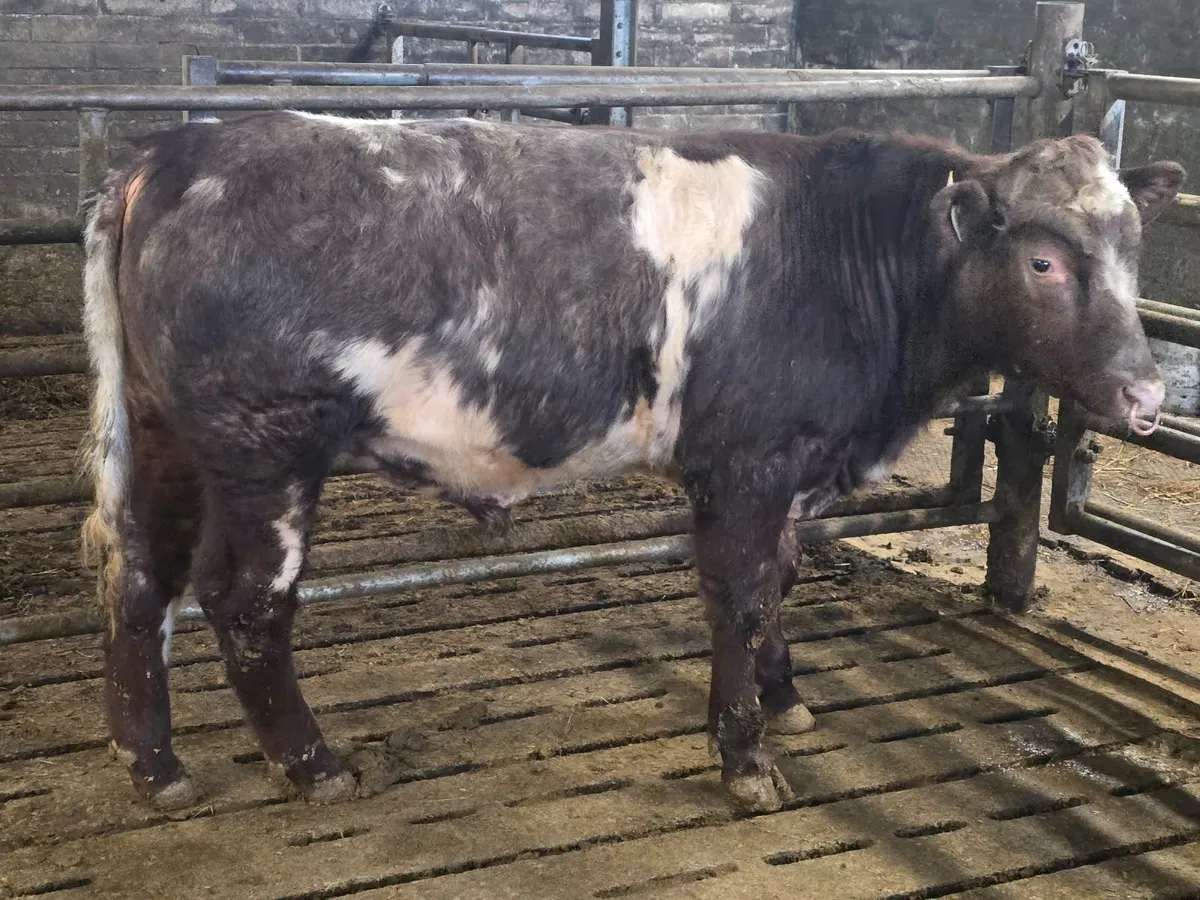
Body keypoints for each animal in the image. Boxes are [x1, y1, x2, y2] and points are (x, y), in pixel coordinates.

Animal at [79, 111, 1184, 814]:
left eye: (1137, 252)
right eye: (1044, 260)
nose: (1148, 395)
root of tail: (168, 154)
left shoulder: (788, 470)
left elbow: (781, 581)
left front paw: (784, 702)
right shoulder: (747, 463)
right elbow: (741, 596)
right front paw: (744, 757)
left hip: (170, 437)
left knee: (140, 577)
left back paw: (155, 767)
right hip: (265, 450)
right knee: (242, 602)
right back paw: (312, 765)